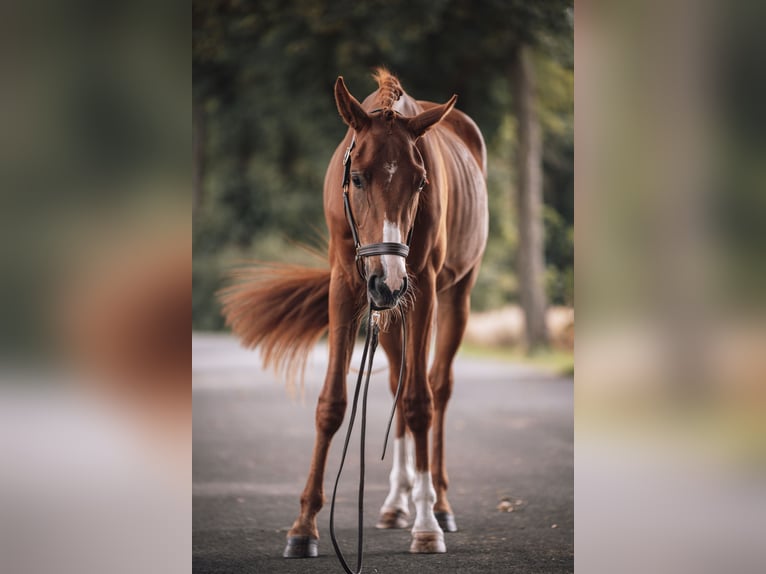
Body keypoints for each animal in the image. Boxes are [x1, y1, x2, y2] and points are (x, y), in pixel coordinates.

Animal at [220, 70, 486, 560]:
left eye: (420, 183)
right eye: (358, 178)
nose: (389, 281)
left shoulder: (420, 287)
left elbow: (420, 402)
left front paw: (426, 526)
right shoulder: (345, 285)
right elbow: (332, 403)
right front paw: (304, 526)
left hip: (453, 294)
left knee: (437, 387)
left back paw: (437, 504)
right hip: (389, 310)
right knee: (399, 379)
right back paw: (396, 502)